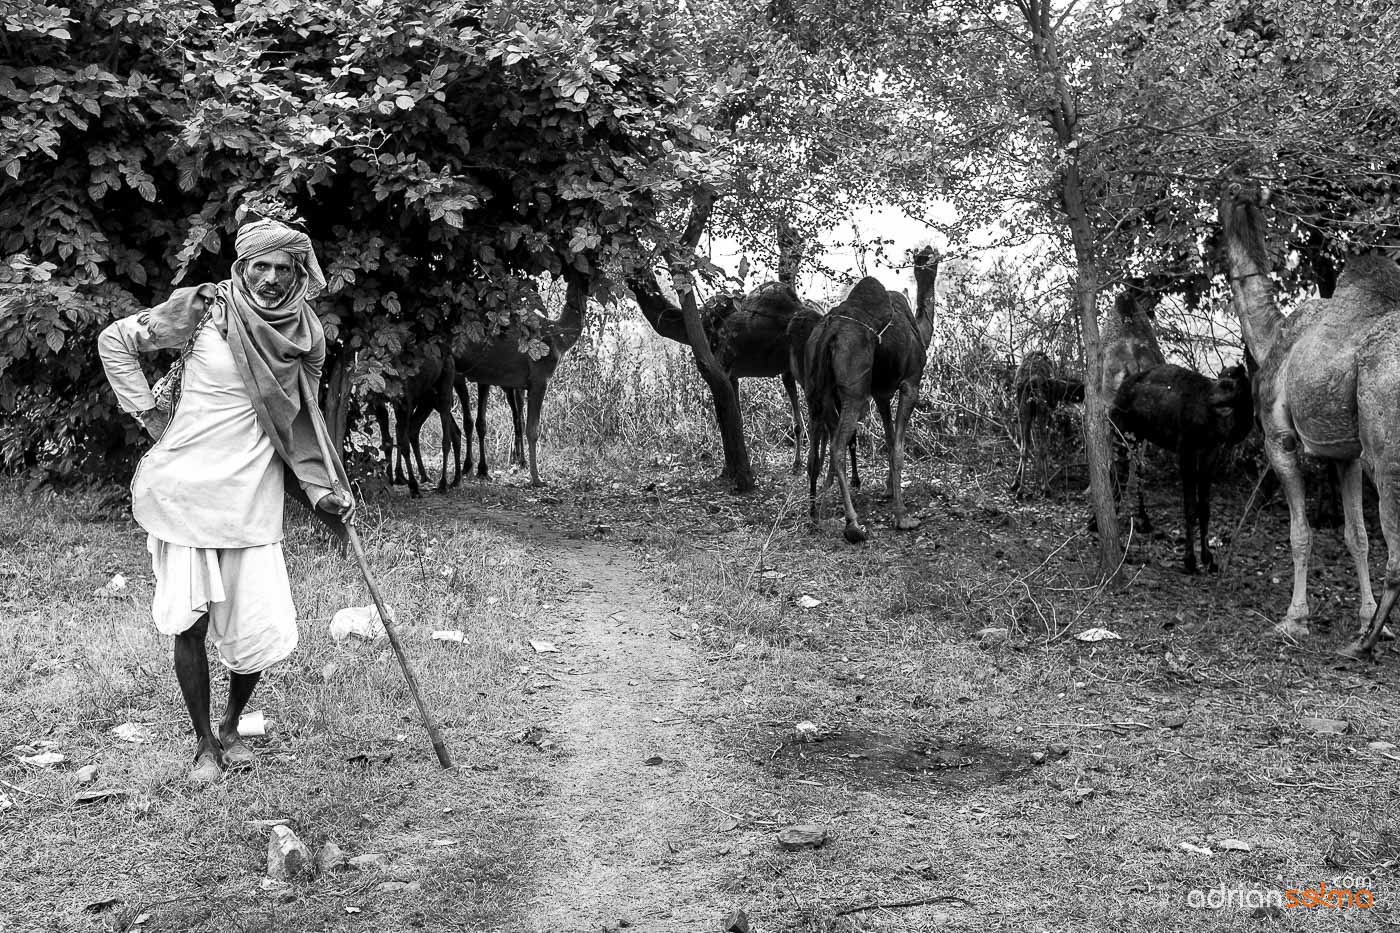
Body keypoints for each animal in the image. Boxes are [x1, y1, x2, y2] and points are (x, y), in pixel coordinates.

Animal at [453, 270, 585, 481]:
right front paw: (536, 478)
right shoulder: (540, 379)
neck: (559, 338)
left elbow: (518, 422)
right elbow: (533, 430)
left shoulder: (519, 384)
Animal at [806, 243, 946, 540]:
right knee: (837, 446)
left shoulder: (881, 392)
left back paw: (818, 515)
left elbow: (890, 439)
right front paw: (903, 517)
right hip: (855, 391)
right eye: (931, 255)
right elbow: (899, 448)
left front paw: (889, 490)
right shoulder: (910, 383)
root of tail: (830, 331)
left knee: (818, 450)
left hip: (817, 390)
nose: (930, 251)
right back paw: (853, 525)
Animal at [1013, 347, 1086, 493]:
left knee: (1024, 448)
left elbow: (1026, 444)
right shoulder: (1051, 410)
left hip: (1023, 410)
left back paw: (1020, 488)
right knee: (1042, 448)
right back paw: (1046, 487)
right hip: (1042, 410)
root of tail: (1031, 383)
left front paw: (1017, 482)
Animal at [1114, 358, 1260, 571]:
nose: (1208, 399)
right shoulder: (1186, 449)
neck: (1217, 423)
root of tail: (1120, 388)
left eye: (1229, 384)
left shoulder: (1210, 451)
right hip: (1122, 427)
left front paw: (1208, 558)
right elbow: (1190, 508)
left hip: (1139, 435)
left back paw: (1139, 523)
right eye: (1219, 378)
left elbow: (1205, 508)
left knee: (1133, 469)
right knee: (1117, 468)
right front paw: (1190, 560)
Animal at [1220, 176, 1400, 652]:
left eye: (1227, 193)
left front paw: (1294, 618)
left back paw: (1363, 646)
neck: (1272, 337)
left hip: (1386, 455)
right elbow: (1356, 537)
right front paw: (1366, 617)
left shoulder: (1279, 440)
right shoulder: (1344, 453)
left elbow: (1300, 534)